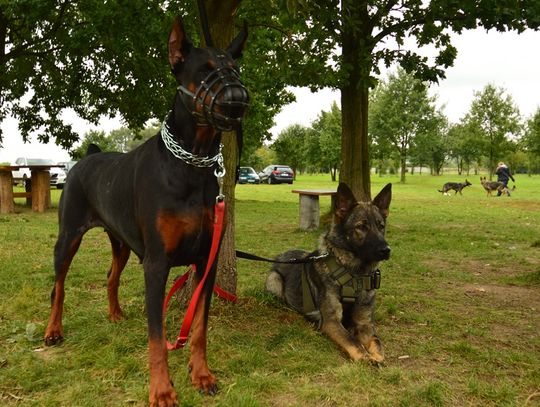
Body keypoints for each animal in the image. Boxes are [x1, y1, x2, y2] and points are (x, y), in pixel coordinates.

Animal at [44, 17, 249, 406]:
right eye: (204, 70)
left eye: (236, 69)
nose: (238, 100)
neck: (191, 164)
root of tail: (88, 156)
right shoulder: (156, 262)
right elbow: (157, 336)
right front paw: (162, 390)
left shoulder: (208, 260)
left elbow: (199, 326)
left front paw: (201, 374)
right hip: (68, 236)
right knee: (58, 287)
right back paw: (53, 331)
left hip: (122, 241)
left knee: (111, 275)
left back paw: (115, 314)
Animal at [266, 183, 392, 364]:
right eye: (361, 227)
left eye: (381, 226)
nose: (386, 250)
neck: (354, 275)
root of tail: (282, 255)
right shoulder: (332, 322)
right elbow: (352, 341)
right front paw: (364, 356)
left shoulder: (365, 323)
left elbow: (376, 341)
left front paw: (376, 356)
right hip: (274, 281)